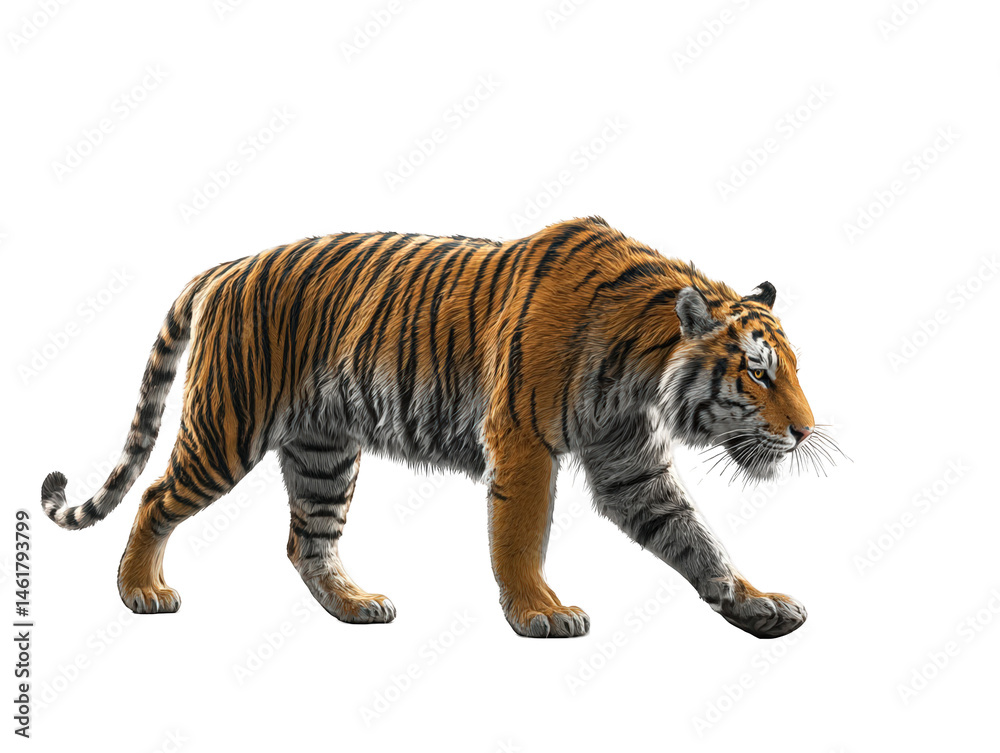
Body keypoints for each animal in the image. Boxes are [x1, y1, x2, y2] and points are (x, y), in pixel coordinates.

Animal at [39, 216, 834, 639]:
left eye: (793, 368)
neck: (640, 363)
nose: (804, 432)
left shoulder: (626, 460)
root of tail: (234, 263)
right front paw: (539, 612)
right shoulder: (523, 444)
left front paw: (756, 603)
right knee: (154, 496)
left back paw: (356, 606)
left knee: (307, 541)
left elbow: (693, 538)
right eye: (758, 373)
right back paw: (140, 590)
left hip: (325, 452)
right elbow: (519, 538)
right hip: (227, 427)